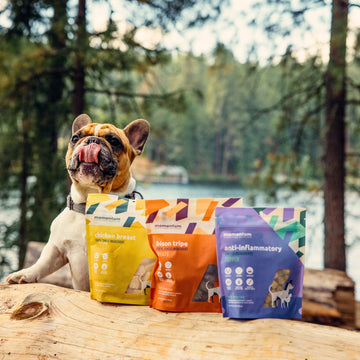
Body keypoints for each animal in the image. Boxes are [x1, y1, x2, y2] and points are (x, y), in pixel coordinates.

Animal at [7, 114, 150, 292]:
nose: (92, 140)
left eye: (114, 141)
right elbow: (43, 263)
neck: (91, 202)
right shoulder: (56, 248)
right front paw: (25, 273)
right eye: (75, 138)